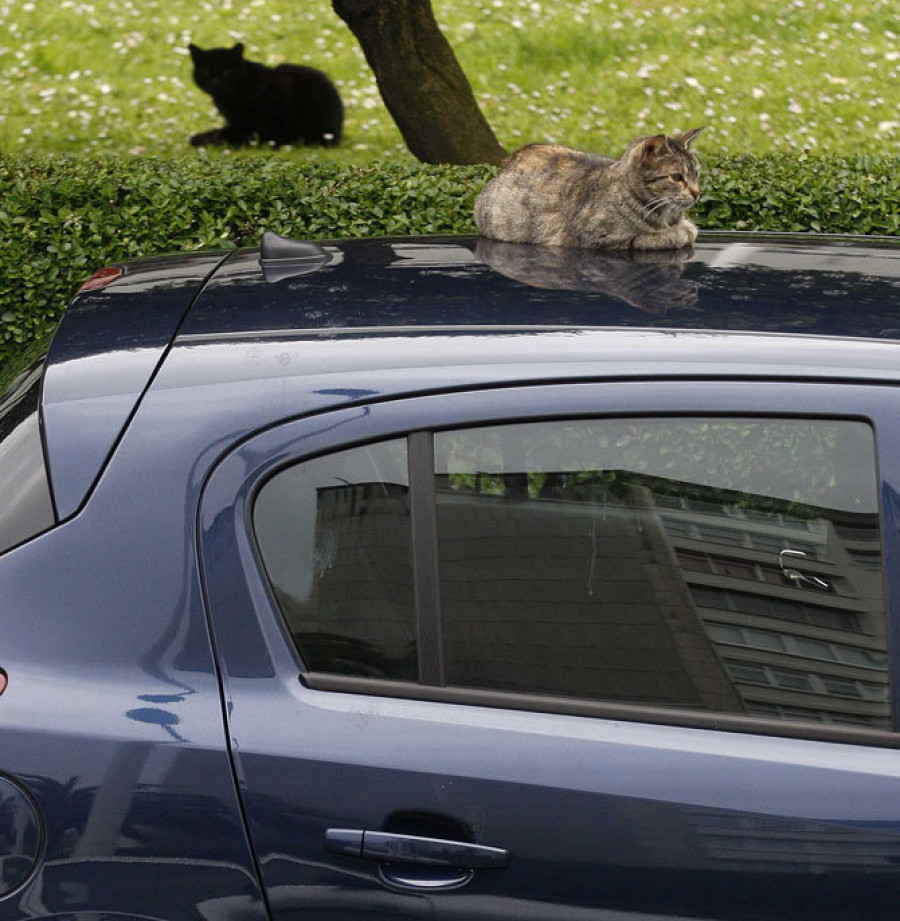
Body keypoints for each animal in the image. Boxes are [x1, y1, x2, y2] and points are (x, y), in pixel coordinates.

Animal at [474, 129, 708, 250]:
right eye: (676, 177)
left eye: (696, 173)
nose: (697, 193)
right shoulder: (603, 240)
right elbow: (661, 237)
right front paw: (679, 233)